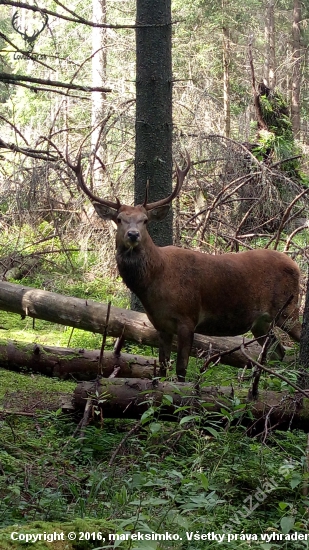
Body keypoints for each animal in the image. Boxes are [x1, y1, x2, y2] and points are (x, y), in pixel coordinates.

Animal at [68, 153, 300, 382]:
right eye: (118, 219)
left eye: (145, 220)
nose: (133, 235)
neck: (156, 280)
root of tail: (295, 265)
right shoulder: (160, 324)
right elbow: (162, 367)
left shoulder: (188, 318)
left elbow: (181, 369)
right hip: (260, 322)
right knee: (277, 352)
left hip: (288, 309)